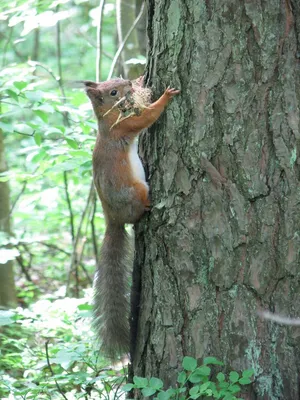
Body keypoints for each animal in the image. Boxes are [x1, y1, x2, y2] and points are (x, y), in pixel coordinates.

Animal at [83, 76, 179, 358]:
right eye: (114, 92)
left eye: (113, 80)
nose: (127, 81)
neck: (107, 118)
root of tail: (112, 218)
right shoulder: (124, 127)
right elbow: (145, 118)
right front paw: (166, 97)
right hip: (135, 192)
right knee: (137, 213)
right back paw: (148, 206)